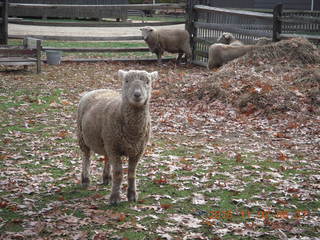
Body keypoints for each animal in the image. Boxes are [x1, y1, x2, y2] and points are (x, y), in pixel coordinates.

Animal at [76, 69, 159, 204]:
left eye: (148, 82)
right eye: (126, 81)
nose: (137, 95)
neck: (132, 133)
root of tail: (99, 89)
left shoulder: (137, 150)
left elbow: (131, 174)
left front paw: (132, 196)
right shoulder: (114, 148)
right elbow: (118, 173)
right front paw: (114, 198)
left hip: (107, 140)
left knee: (106, 157)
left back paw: (106, 178)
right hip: (82, 135)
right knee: (86, 156)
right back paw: (85, 179)